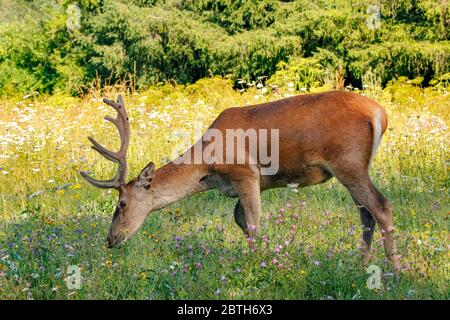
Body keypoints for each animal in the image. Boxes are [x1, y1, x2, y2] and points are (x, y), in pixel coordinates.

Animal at [80, 92, 400, 272]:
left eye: (122, 204)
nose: (111, 239)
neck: (207, 165)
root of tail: (380, 113)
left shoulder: (246, 173)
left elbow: (254, 224)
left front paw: (258, 266)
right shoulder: (238, 188)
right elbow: (241, 221)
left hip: (349, 162)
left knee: (381, 207)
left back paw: (395, 271)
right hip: (353, 168)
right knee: (366, 215)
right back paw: (360, 265)